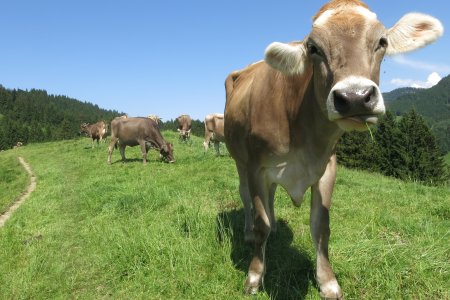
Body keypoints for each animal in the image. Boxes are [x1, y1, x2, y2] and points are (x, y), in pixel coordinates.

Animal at [223, 1, 442, 298]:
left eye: (382, 41)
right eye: (313, 48)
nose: (355, 97)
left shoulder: (327, 168)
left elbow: (320, 228)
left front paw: (327, 281)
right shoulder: (258, 167)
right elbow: (261, 224)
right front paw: (255, 276)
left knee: (269, 199)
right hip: (240, 161)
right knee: (246, 196)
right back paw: (248, 232)